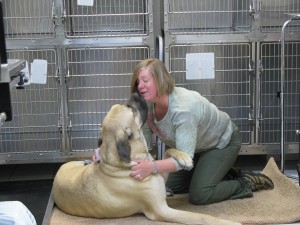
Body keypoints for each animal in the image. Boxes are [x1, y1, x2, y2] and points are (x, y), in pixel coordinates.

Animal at [52, 93, 241, 225]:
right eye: (130, 109)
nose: (136, 93)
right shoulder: (161, 210)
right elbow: (200, 217)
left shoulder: (159, 171)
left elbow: (168, 151)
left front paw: (184, 157)